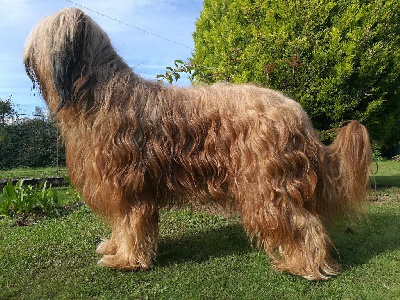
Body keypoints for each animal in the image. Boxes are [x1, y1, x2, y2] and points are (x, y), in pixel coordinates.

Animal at [22, 7, 372, 282]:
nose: (25, 60)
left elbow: (131, 223)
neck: (102, 92)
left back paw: (306, 267)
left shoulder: (129, 184)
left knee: (300, 223)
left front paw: (126, 260)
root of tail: (297, 113)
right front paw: (115, 248)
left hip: (267, 182)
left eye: (40, 37)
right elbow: (122, 225)